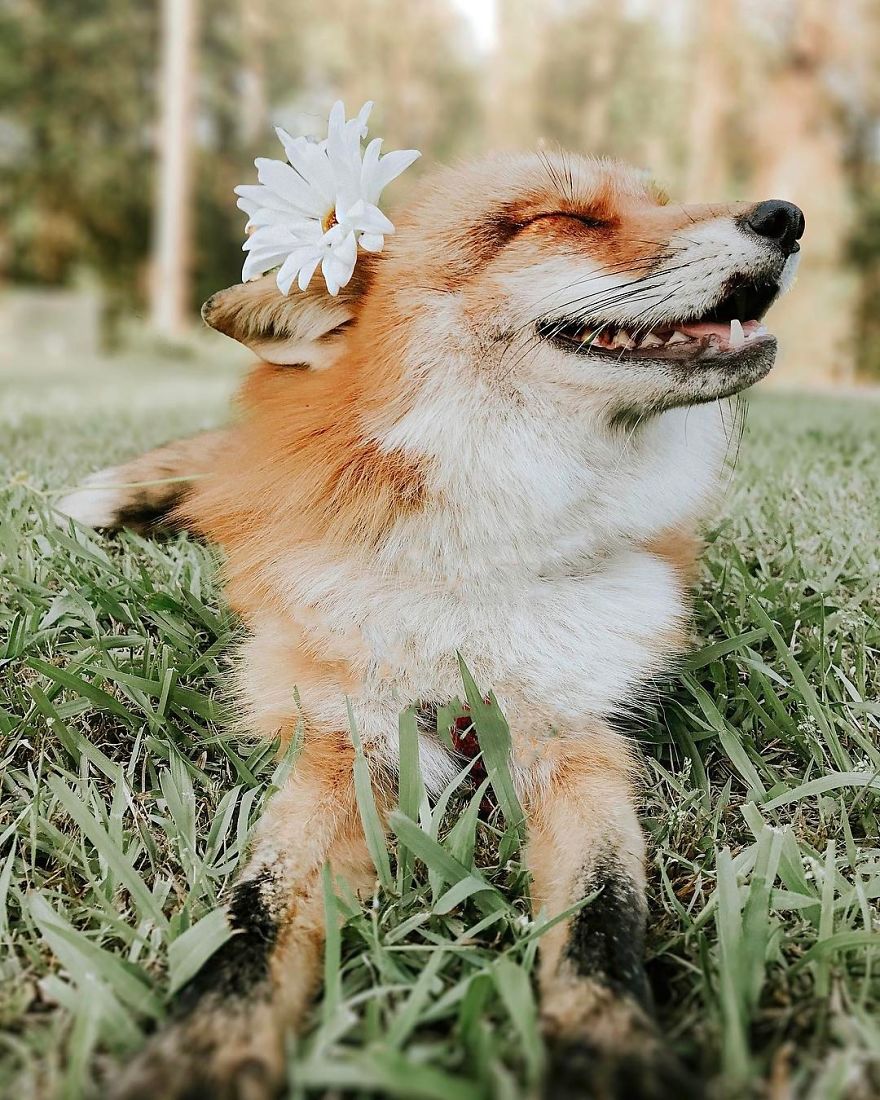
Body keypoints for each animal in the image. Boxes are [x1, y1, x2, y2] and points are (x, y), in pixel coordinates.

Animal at [57, 151, 803, 1100]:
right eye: (562, 219)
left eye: (657, 202)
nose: (786, 216)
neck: (472, 586)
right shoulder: (343, 738)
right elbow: (257, 914)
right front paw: (203, 1050)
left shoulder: (575, 735)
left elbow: (603, 913)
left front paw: (610, 1048)